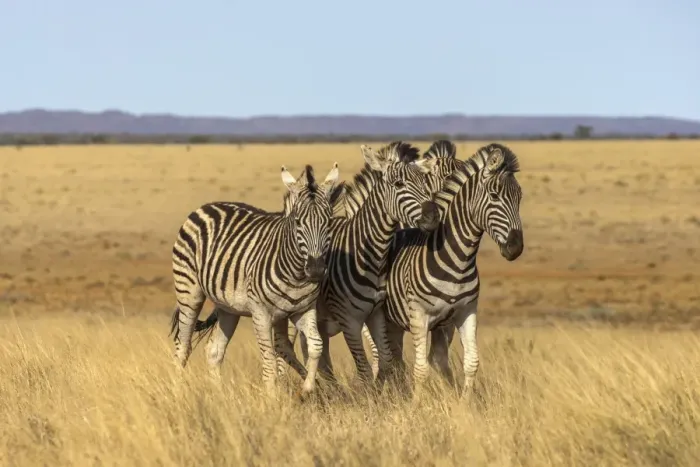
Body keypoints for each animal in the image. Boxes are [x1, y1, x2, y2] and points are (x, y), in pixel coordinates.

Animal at [168, 162, 339, 396]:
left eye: (328, 222)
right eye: (297, 222)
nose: (315, 270)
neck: (296, 275)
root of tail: (206, 207)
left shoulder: (303, 310)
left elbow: (315, 346)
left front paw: (307, 389)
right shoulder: (261, 313)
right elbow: (269, 360)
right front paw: (272, 398)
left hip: (228, 308)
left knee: (214, 350)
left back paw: (220, 396)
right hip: (189, 291)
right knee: (183, 345)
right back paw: (177, 392)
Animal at [373, 142, 524, 394]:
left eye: (520, 198)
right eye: (494, 196)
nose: (516, 248)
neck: (459, 261)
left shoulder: (465, 312)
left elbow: (470, 363)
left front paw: (462, 402)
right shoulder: (420, 315)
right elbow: (421, 370)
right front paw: (416, 404)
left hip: (400, 323)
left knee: (398, 359)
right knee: (381, 358)